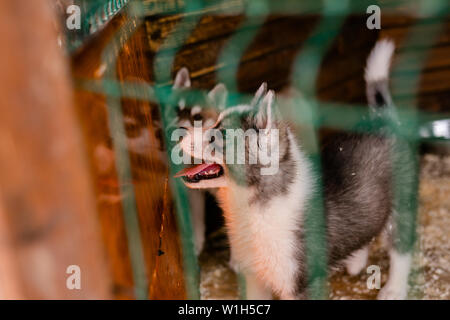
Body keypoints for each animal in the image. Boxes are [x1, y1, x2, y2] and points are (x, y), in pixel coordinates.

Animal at [174, 40, 414, 300]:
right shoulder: (254, 278)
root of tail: (382, 118)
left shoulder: (301, 285)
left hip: (401, 207)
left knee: (401, 251)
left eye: (215, 137)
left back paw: (394, 289)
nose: (178, 136)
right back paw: (356, 262)